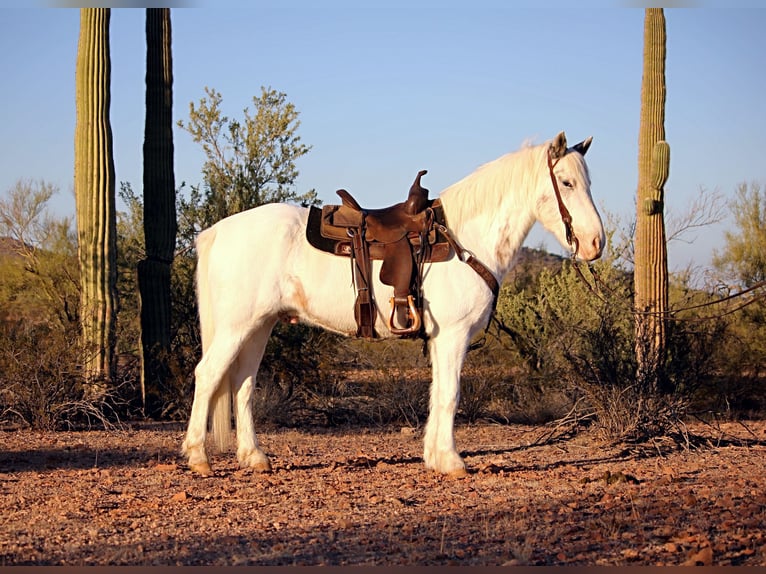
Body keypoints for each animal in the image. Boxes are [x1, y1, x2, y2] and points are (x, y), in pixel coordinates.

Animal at [182, 133, 608, 480]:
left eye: (589, 182)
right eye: (566, 182)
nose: (595, 243)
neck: (464, 239)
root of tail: (216, 231)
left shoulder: (440, 339)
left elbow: (438, 393)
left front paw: (435, 456)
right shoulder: (453, 336)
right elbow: (451, 394)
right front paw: (452, 461)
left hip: (259, 326)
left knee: (243, 383)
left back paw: (253, 456)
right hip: (236, 327)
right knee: (208, 375)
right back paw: (198, 457)